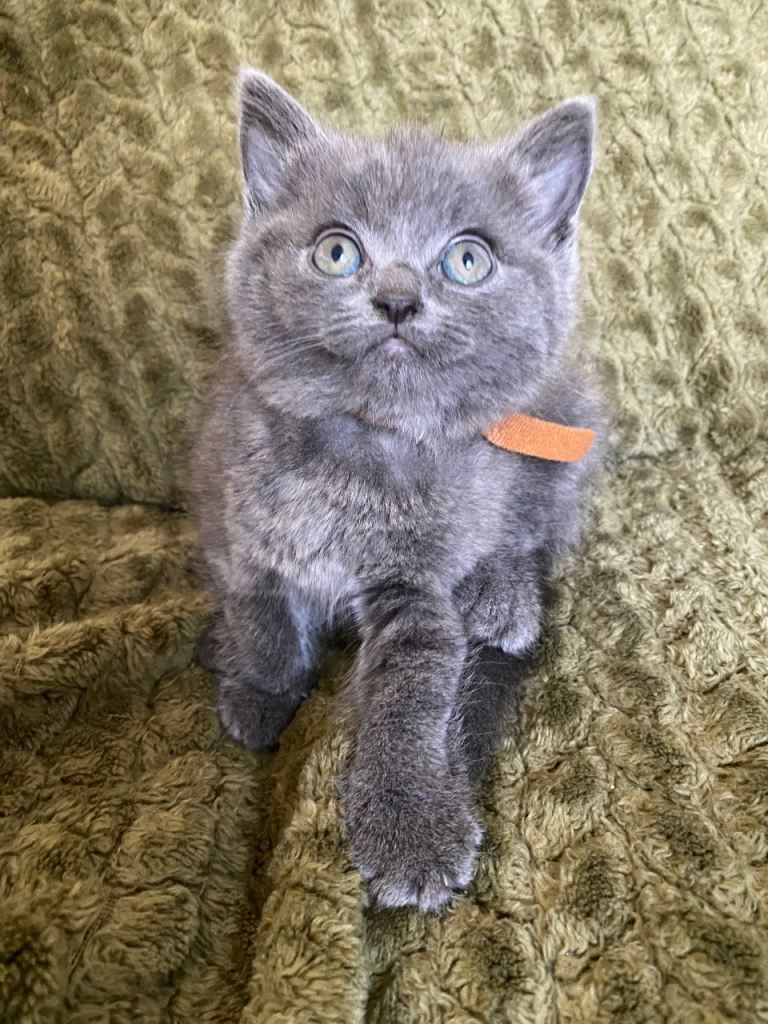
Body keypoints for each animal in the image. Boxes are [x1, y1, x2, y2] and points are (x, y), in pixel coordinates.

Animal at [191, 67, 600, 911]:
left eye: (468, 260)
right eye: (336, 251)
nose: (399, 299)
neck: (358, 447)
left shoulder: (415, 582)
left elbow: (414, 685)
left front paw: (410, 825)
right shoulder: (235, 518)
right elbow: (261, 619)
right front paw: (260, 691)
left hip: (556, 421)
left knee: (528, 527)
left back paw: (502, 599)